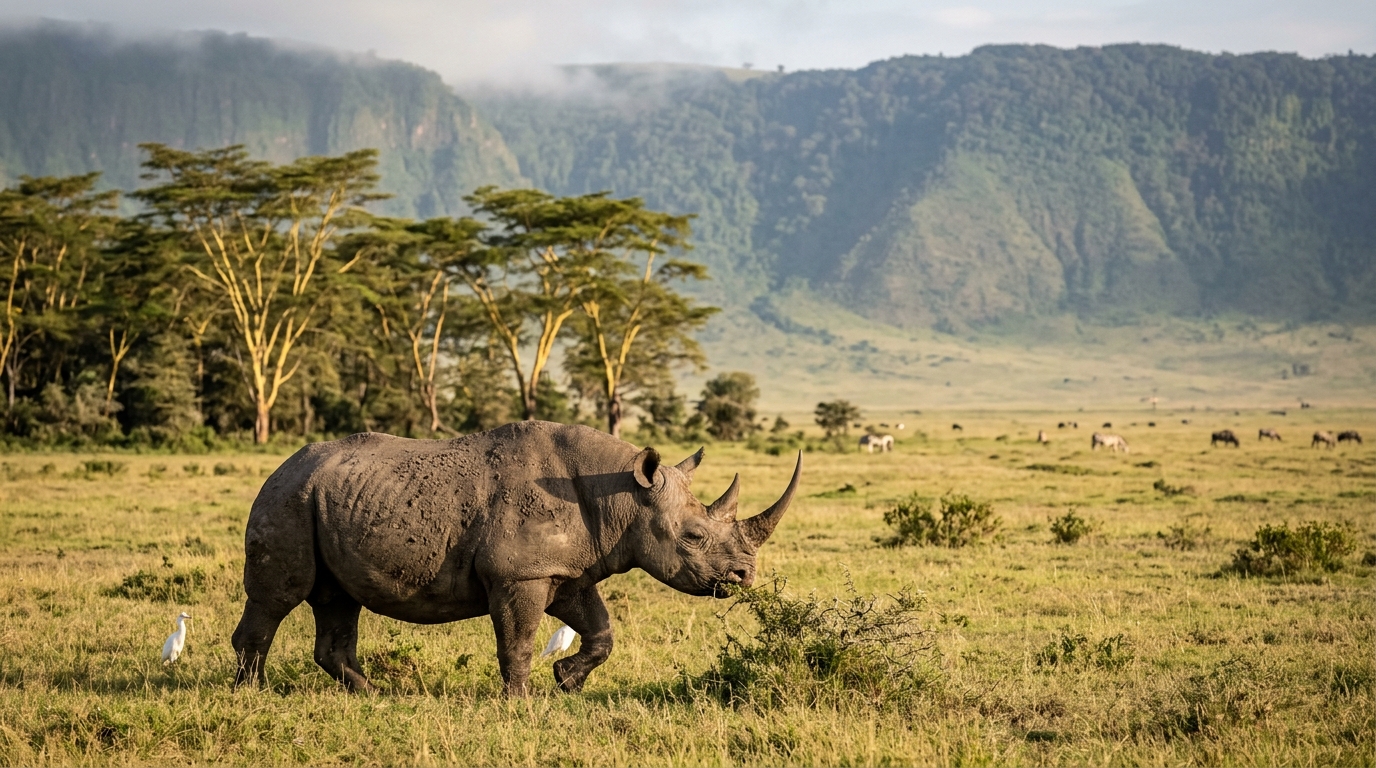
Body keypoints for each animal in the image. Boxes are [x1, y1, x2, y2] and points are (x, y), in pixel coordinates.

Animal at [230, 421, 801, 696]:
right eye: (694, 536)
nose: (744, 575)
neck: (621, 496)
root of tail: (279, 466)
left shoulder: (565, 571)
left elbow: (601, 630)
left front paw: (568, 681)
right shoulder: (518, 574)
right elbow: (519, 641)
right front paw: (520, 702)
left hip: (325, 498)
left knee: (337, 600)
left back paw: (375, 695)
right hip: (287, 498)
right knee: (279, 596)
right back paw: (253, 695)